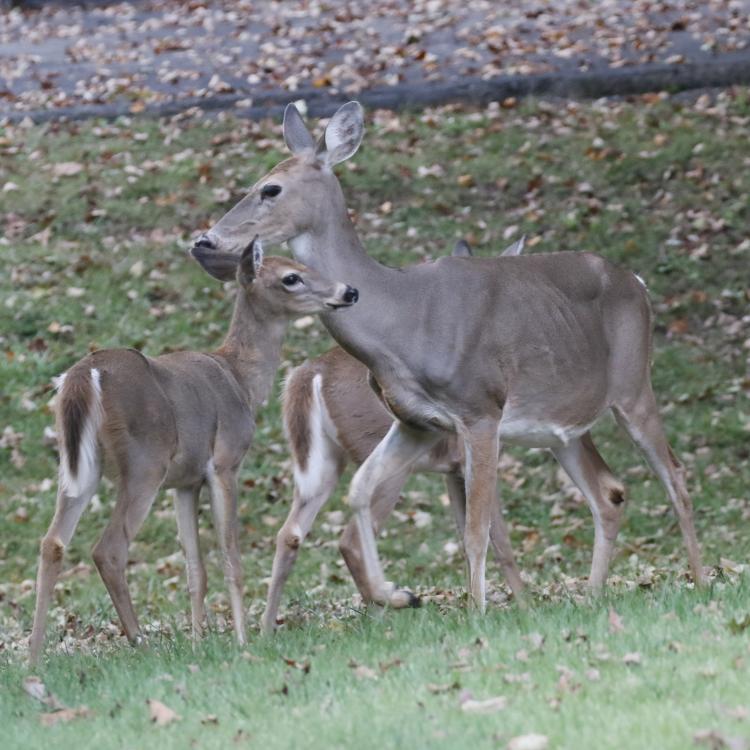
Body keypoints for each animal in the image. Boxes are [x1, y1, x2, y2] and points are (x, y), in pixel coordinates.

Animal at [28, 239, 358, 663]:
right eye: (291, 277)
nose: (348, 291)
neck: (241, 381)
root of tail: (84, 378)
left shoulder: (185, 482)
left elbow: (195, 568)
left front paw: (199, 642)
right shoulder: (224, 462)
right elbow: (230, 557)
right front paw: (242, 640)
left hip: (80, 467)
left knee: (52, 542)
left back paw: (35, 656)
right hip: (144, 463)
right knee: (108, 549)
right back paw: (141, 644)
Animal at [261, 236, 526, 633]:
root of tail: (307, 375)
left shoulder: (453, 470)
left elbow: (466, 533)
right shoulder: (473, 457)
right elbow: (501, 541)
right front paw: (525, 605)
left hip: (323, 460)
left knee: (289, 534)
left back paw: (265, 630)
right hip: (378, 453)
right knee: (351, 537)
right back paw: (392, 607)